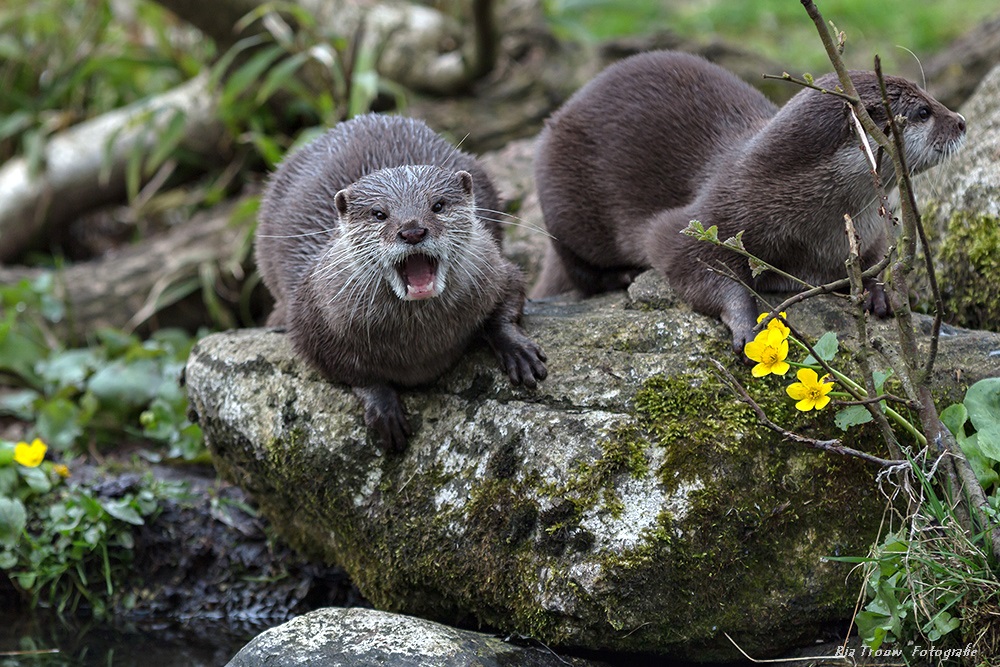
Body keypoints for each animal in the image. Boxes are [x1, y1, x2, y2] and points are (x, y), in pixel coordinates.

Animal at [254, 115, 544, 452]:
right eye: (379, 213)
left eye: (438, 205)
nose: (412, 230)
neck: (420, 344)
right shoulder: (311, 320)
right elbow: (347, 370)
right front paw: (382, 407)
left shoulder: (493, 267)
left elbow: (510, 296)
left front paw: (517, 350)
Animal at [536, 50, 964, 352]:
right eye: (924, 111)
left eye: (931, 99)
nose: (961, 121)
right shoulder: (710, 216)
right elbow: (686, 260)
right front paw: (746, 323)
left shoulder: (873, 228)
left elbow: (877, 259)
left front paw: (879, 290)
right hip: (560, 198)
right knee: (576, 267)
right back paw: (620, 276)